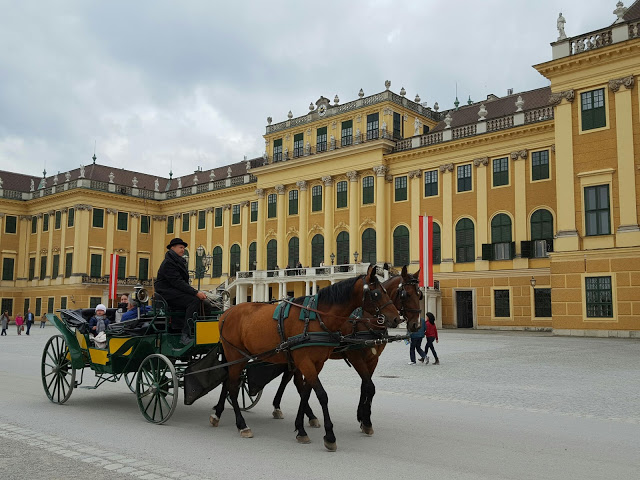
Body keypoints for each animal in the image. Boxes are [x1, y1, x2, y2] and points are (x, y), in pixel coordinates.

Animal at [210, 265, 400, 451]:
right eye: (377, 293)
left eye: (386, 291)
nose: (397, 318)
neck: (318, 318)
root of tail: (226, 314)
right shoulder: (309, 361)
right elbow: (322, 395)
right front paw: (330, 436)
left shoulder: (317, 363)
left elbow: (307, 393)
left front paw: (301, 429)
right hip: (235, 355)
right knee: (232, 387)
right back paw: (242, 425)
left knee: (230, 382)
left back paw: (218, 414)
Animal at [271, 266, 423, 436]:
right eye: (406, 294)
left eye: (420, 295)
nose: (416, 325)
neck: (365, 319)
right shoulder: (355, 356)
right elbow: (369, 386)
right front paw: (366, 421)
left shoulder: (373, 359)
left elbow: (365, 386)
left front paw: (362, 417)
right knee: (296, 381)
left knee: (292, 380)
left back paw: (303, 414)